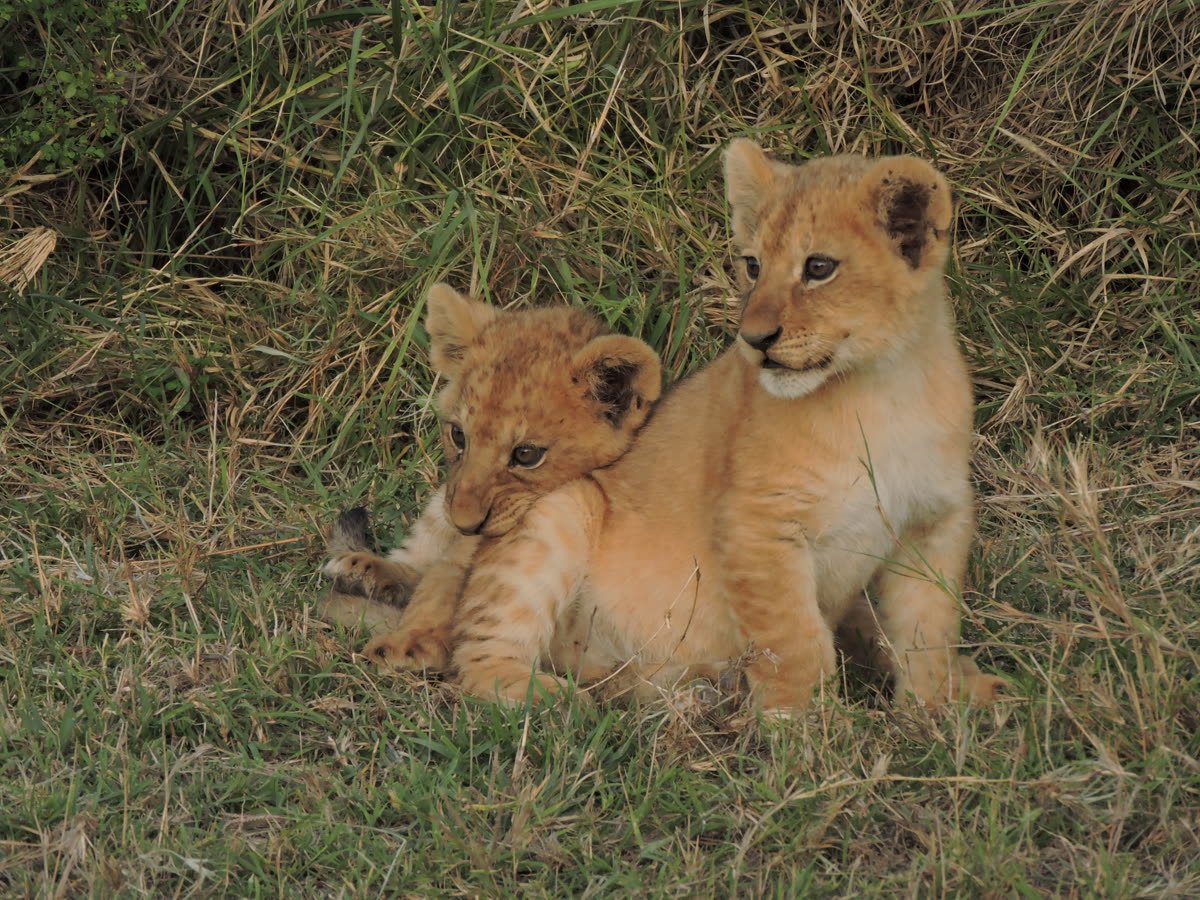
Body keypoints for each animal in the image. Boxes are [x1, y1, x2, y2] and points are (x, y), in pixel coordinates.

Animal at [318, 282, 663, 672]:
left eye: (526, 455)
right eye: (458, 435)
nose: (465, 524)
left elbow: (443, 584)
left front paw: (409, 646)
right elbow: (438, 576)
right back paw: (358, 567)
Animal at [383, 141, 1005, 710]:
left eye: (819, 268)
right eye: (753, 265)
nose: (754, 339)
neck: (881, 389)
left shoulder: (933, 522)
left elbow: (928, 631)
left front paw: (934, 718)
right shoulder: (757, 523)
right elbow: (795, 646)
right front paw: (806, 738)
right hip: (560, 510)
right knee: (480, 656)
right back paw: (563, 703)